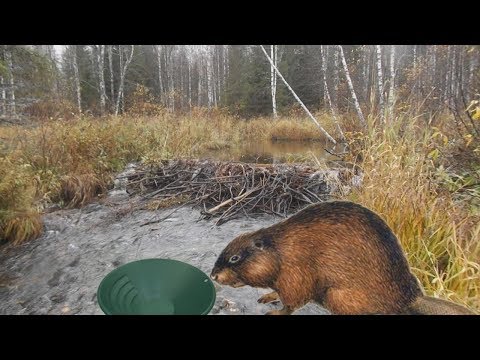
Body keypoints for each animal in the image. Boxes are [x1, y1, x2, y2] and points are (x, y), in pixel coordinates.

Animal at [211, 200, 476, 316]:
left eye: (235, 258)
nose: (213, 275)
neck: (281, 248)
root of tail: (413, 299)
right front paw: (266, 297)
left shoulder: (296, 270)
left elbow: (293, 300)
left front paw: (274, 312)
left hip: (340, 297)